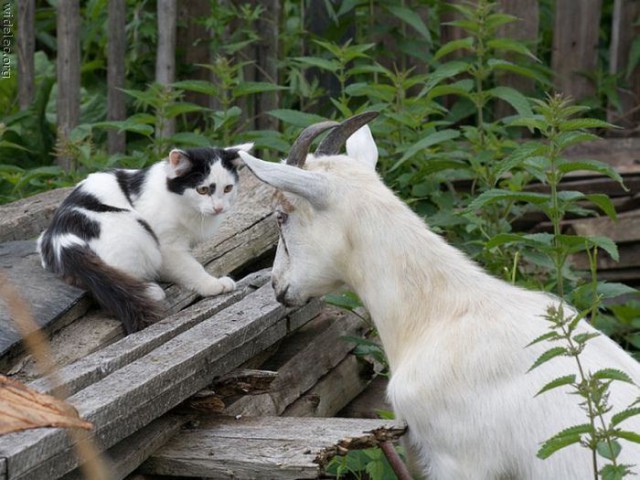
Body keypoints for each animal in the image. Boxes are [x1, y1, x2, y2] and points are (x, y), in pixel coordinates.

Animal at [34, 144, 250, 334]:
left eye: (228, 188)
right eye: (203, 190)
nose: (219, 208)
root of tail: (60, 238)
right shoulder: (167, 246)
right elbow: (190, 268)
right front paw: (213, 284)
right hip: (135, 230)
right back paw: (150, 290)